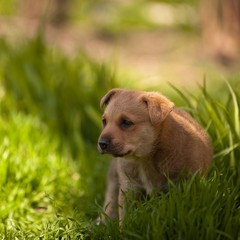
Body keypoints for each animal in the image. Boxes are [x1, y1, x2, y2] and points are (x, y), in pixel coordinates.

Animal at [97, 88, 212, 223]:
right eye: (104, 121)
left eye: (126, 122)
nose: (102, 143)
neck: (144, 160)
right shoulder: (128, 188)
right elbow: (125, 217)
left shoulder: (186, 185)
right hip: (114, 177)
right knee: (111, 200)